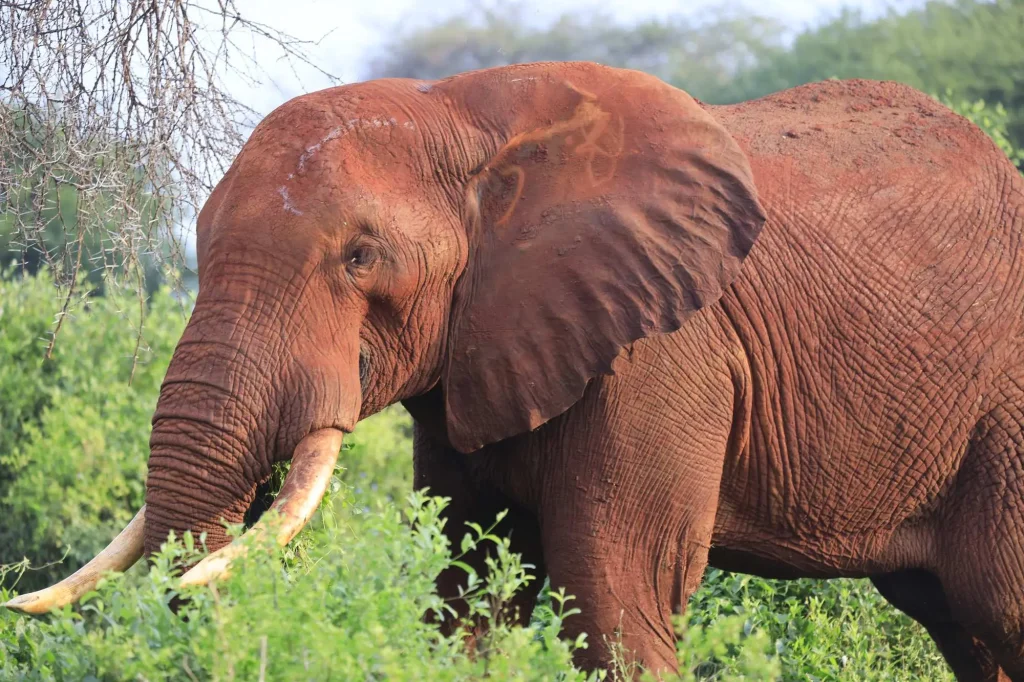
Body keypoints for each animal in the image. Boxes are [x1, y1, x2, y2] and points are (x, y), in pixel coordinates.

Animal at [8, 61, 1024, 680]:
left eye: (360, 259)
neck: (464, 115)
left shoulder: (660, 354)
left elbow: (613, 599)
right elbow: (467, 596)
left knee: (995, 602)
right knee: (965, 625)